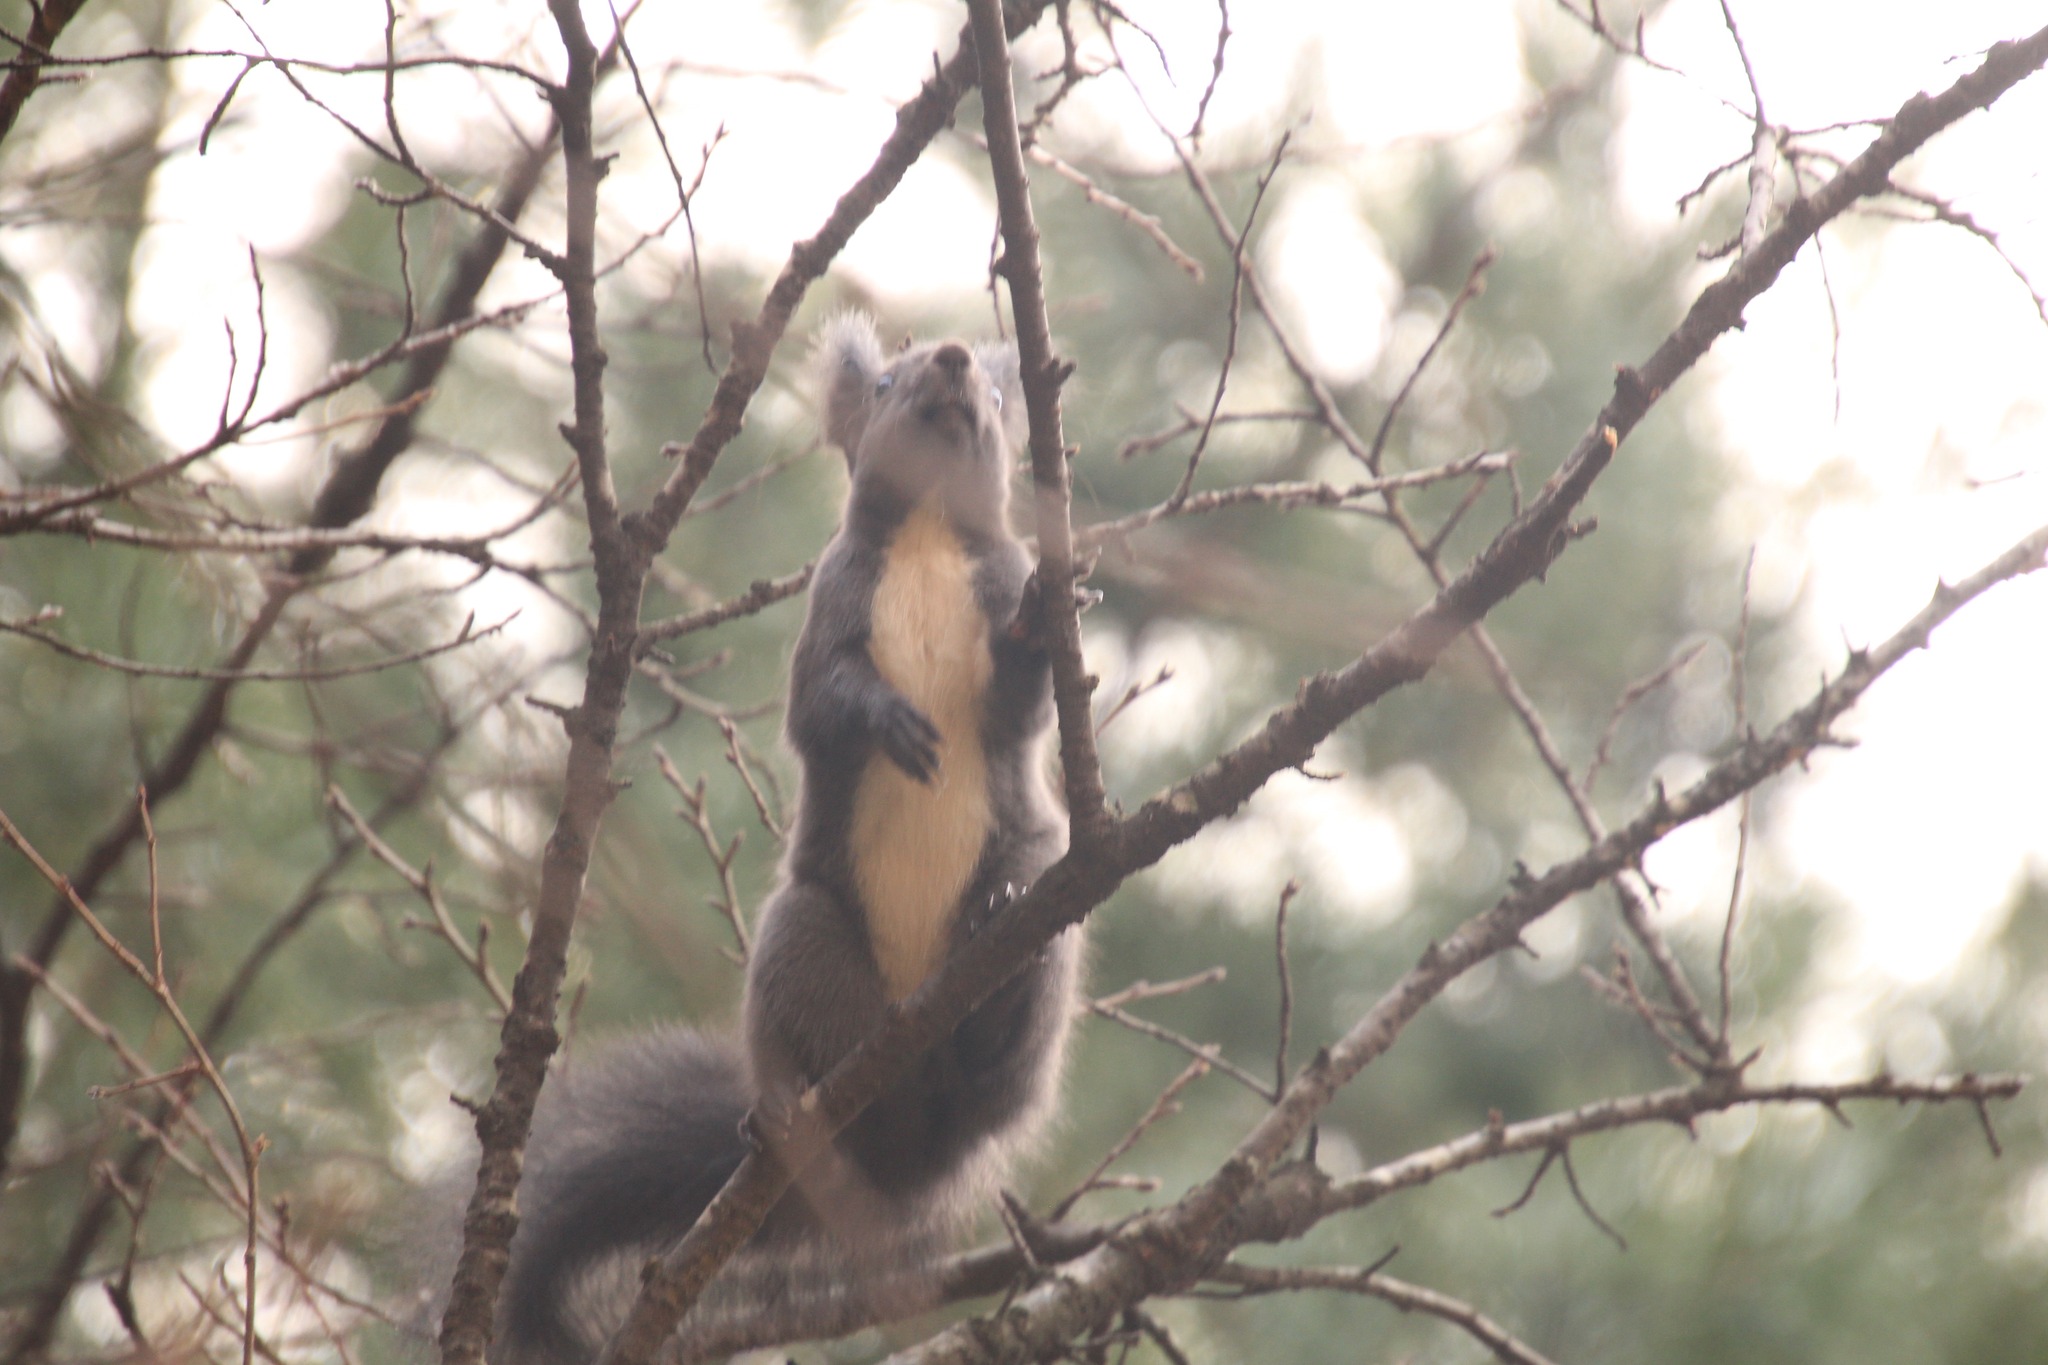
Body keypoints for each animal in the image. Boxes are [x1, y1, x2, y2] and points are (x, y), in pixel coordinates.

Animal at [485, 315, 1082, 1364]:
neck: (927, 534)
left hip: (1035, 913)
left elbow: (1020, 702)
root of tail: (903, 1155)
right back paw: (790, 1108)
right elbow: (825, 705)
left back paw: (989, 980)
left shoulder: (997, 589)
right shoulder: (831, 607)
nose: (955, 363)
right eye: (885, 380)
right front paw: (888, 719)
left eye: (997, 395)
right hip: (806, 936)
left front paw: (1044, 619)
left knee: (999, 1051)